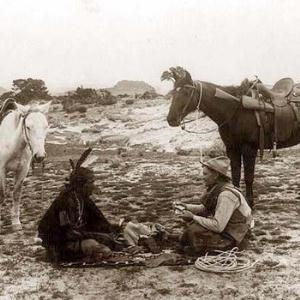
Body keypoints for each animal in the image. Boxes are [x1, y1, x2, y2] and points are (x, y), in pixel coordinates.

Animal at [0, 99, 51, 231]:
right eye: (28, 127)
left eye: (46, 126)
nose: (40, 156)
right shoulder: (1, 170)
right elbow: (2, 193)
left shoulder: (23, 170)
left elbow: (16, 194)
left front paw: (16, 222)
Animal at [163, 66, 300, 207]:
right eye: (173, 92)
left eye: (186, 91)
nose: (171, 119)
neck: (236, 111)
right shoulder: (232, 149)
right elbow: (235, 176)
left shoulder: (249, 149)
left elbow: (248, 177)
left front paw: (249, 202)